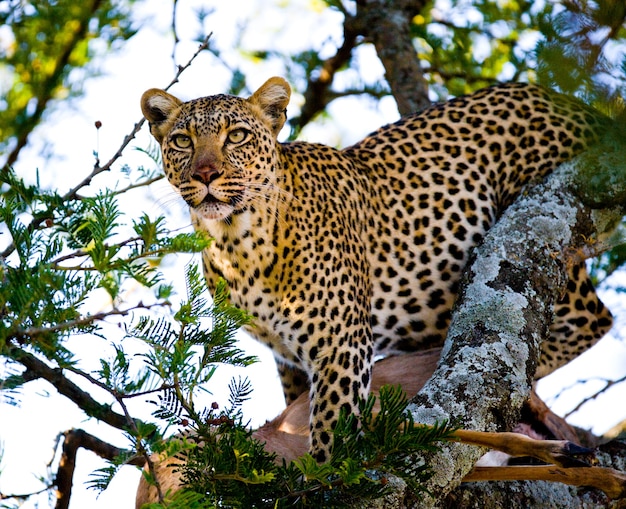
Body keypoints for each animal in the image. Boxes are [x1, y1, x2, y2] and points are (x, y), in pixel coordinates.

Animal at [140, 78, 608, 460]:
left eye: (236, 136)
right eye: (182, 141)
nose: (205, 173)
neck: (236, 245)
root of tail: (576, 104)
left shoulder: (340, 345)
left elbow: (332, 430)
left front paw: (327, 480)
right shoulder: (289, 358)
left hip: (544, 234)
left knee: (584, 326)